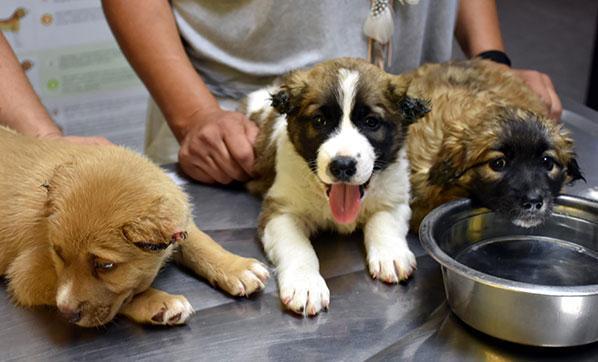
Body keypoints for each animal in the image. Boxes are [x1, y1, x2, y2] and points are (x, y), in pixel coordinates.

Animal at [0, 127, 268, 328]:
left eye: (105, 266)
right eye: (58, 253)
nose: (66, 314)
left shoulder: (176, 221)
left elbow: (199, 242)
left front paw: (237, 268)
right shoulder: (26, 273)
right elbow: (124, 297)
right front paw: (159, 303)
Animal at [244, 58, 432, 316]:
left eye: (371, 122)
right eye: (319, 121)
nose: (343, 165)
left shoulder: (395, 198)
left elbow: (383, 222)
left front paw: (390, 255)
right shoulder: (279, 211)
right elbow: (297, 246)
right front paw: (305, 284)